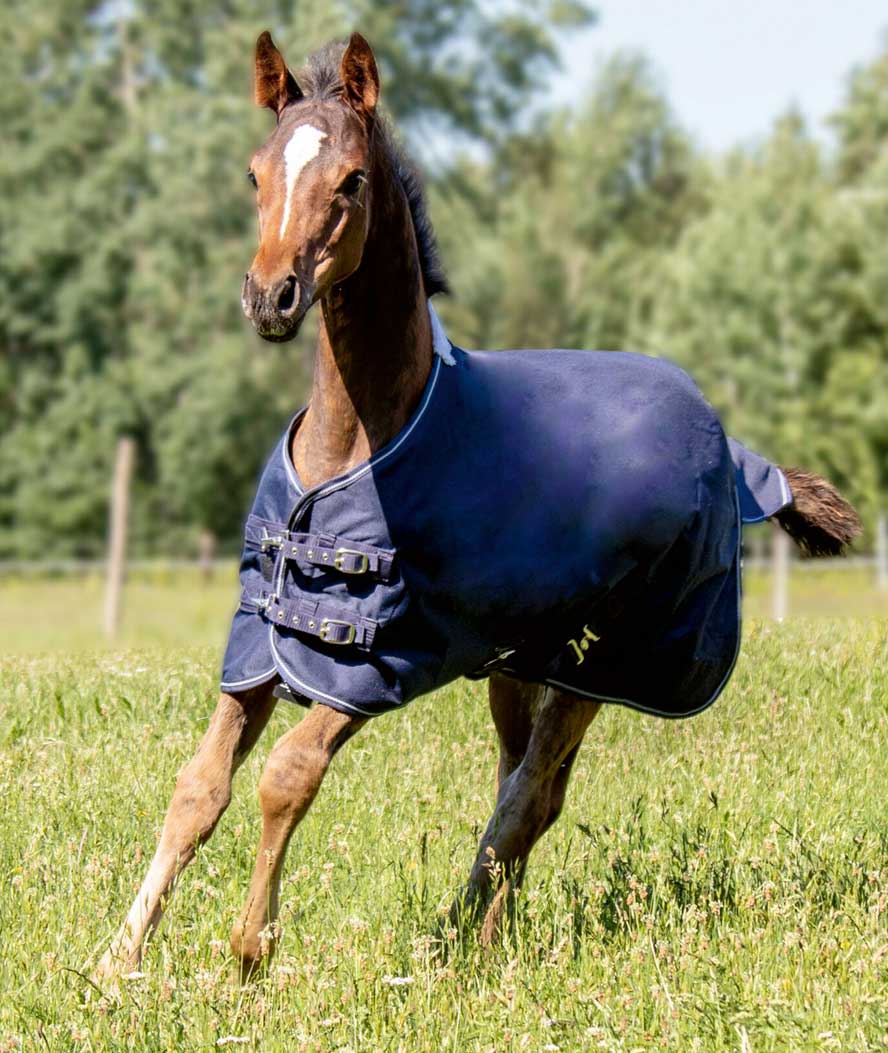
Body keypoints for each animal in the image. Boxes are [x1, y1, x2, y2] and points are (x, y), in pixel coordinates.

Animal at [95, 28, 855, 977]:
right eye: (255, 172)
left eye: (350, 179)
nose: (270, 298)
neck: (357, 444)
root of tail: (727, 442)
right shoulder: (262, 642)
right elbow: (198, 786)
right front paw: (117, 962)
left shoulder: (375, 659)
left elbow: (286, 777)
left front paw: (248, 949)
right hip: (521, 661)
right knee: (527, 784)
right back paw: (491, 935)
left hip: (599, 662)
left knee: (528, 794)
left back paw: (454, 938)